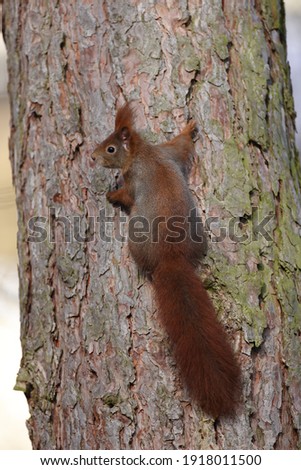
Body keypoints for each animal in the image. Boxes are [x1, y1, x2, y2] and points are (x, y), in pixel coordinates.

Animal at [91, 102, 241, 414]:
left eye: (110, 148)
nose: (92, 156)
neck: (143, 152)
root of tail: (171, 259)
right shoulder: (168, 152)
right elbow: (181, 146)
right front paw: (188, 128)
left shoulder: (134, 179)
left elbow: (126, 195)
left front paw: (112, 195)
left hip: (136, 242)